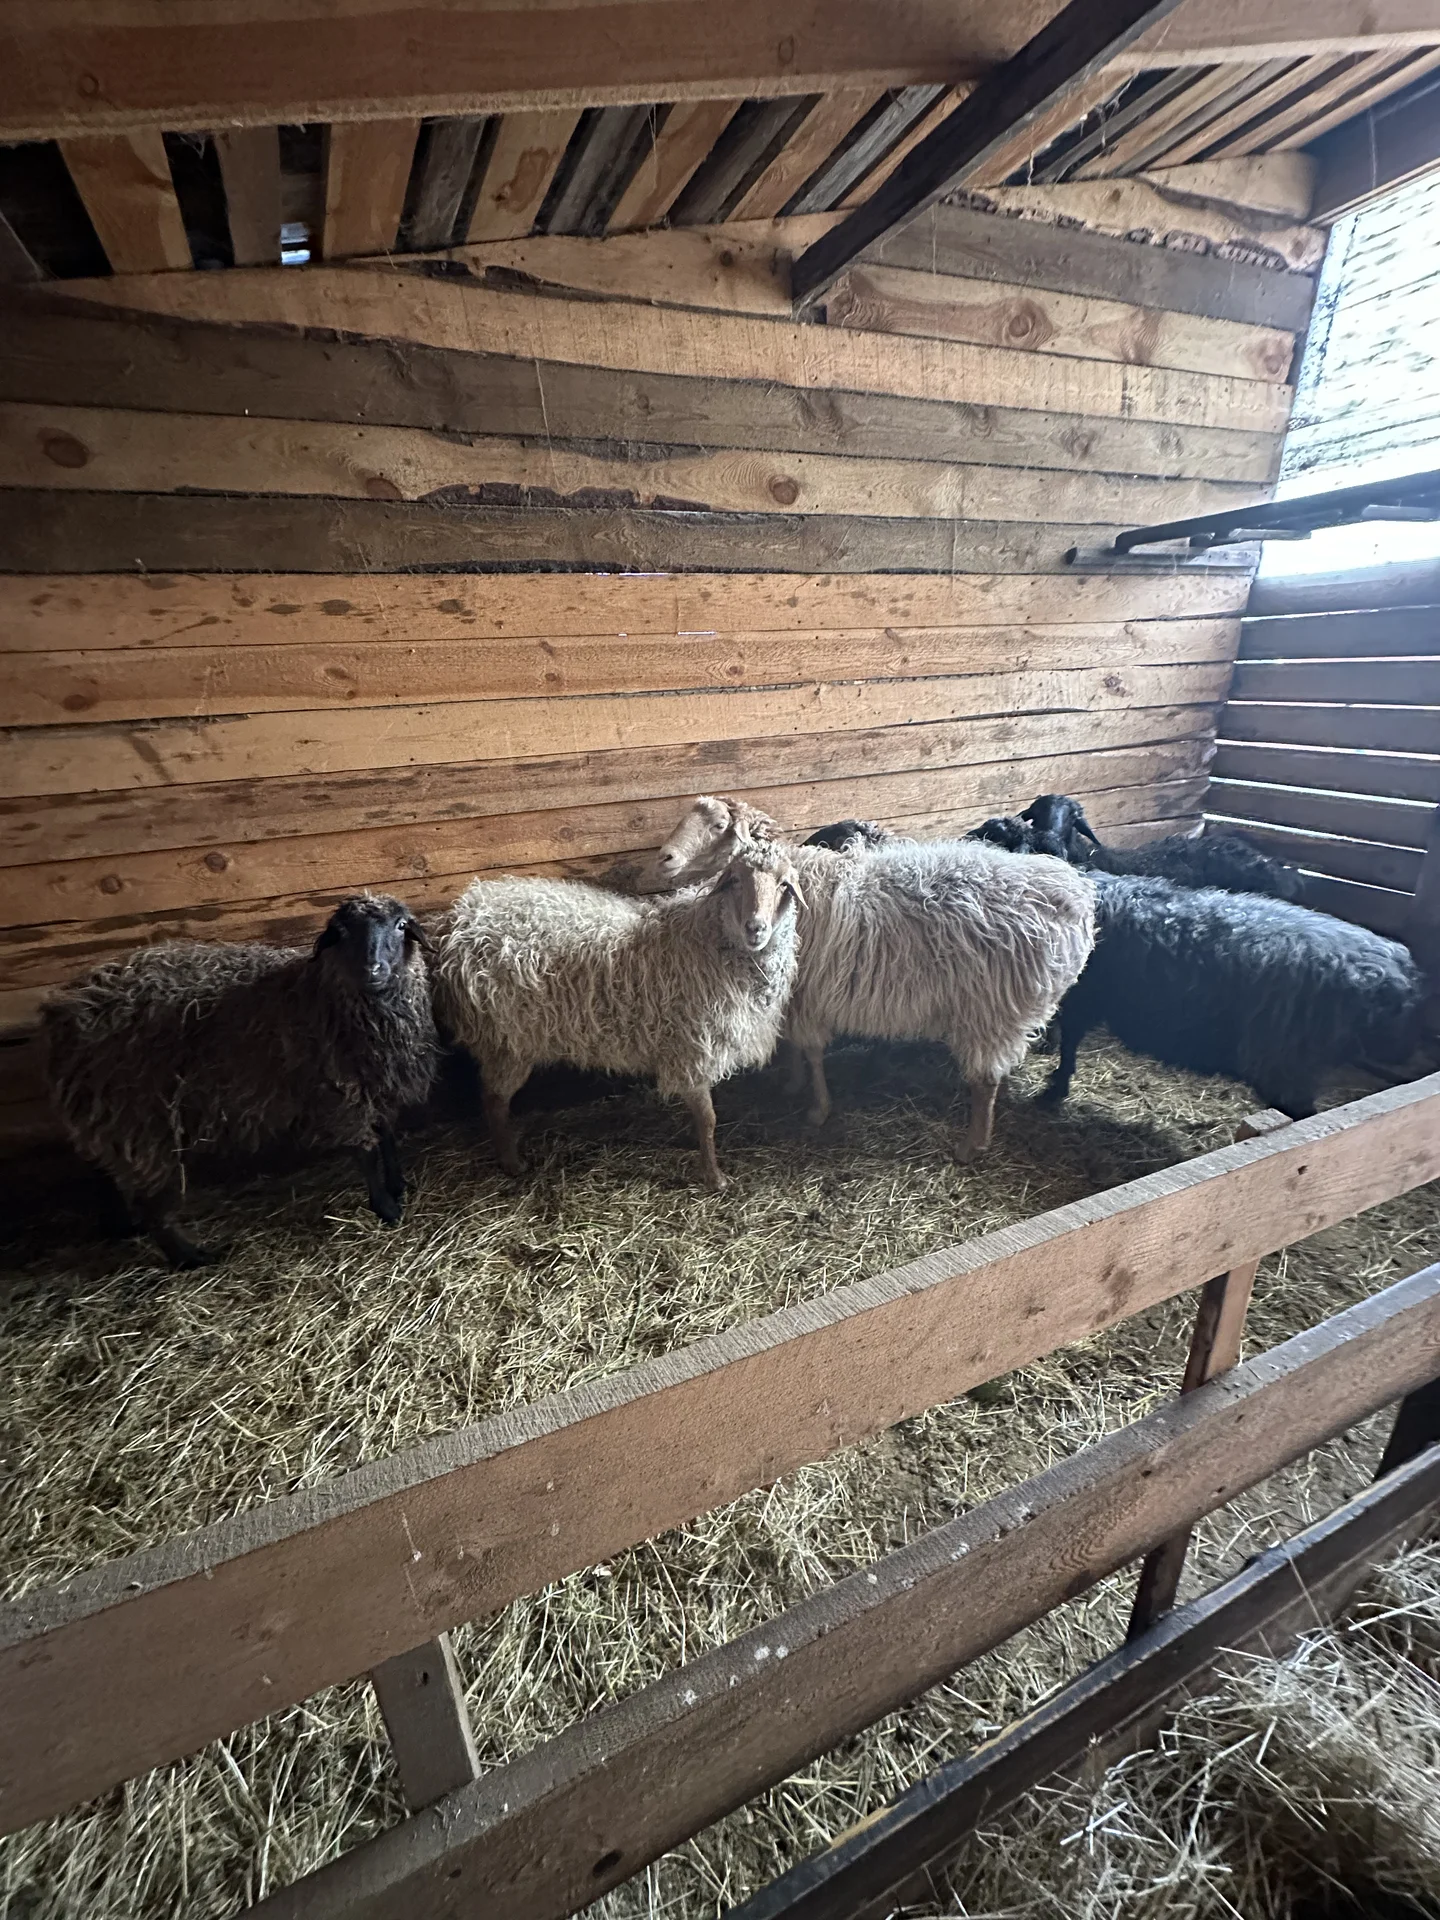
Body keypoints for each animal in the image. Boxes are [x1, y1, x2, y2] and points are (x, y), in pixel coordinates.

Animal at [43, 895, 439, 1269]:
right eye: (340, 932)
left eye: (401, 926)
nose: (372, 969)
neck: (321, 994)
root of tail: (66, 1010)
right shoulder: (341, 1095)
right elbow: (366, 1152)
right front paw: (386, 1207)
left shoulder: (378, 1084)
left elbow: (386, 1136)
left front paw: (397, 1186)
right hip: (137, 1116)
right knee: (148, 1200)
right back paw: (191, 1258)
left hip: (105, 1111)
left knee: (106, 1172)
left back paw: (120, 1226)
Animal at [432, 839, 806, 1191]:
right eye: (736, 881)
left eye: (784, 884)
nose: (755, 928)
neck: (707, 941)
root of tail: (461, 920)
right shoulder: (692, 1050)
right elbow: (708, 1119)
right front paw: (714, 1178)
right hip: (506, 1040)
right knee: (494, 1099)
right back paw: (511, 1162)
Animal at [645, 797, 1097, 1159]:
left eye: (719, 825)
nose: (664, 858)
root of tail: (1074, 901)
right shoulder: (795, 994)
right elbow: (794, 1047)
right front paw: (792, 1083)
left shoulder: (808, 994)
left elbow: (812, 1051)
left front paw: (817, 1109)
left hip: (992, 1009)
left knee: (985, 1080)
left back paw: (971, 1146)